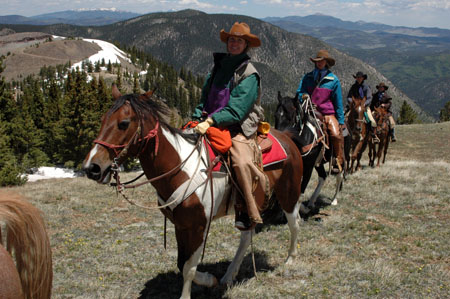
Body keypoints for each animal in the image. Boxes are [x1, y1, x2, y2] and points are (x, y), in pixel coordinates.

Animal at [82, 85, 304, 298]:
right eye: (103, 120)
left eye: (124, 123)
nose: (92, 167)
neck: (180, 168)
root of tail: (287, 138)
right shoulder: (181, 225)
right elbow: (182, 263)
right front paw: (210, 279)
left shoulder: (199, 226)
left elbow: (189, 267)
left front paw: (196, 287)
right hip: (248, 207)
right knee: (246, 236)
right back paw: (228, 276)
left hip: (288, 194)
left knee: (294, 223)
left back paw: (290, 259)